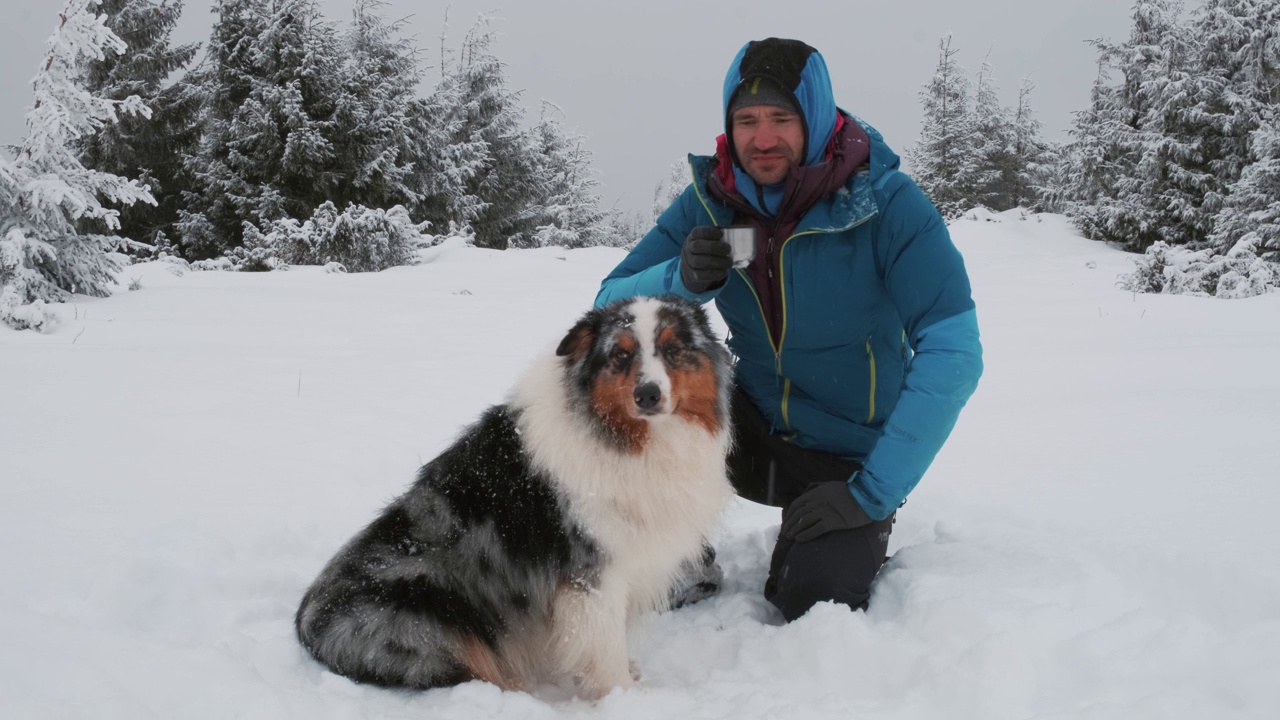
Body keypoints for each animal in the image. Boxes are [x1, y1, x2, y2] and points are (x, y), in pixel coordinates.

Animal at [291, 293, 732, 696]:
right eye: (621, 355)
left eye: (673, 350)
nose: (648, 394)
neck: (631, 440)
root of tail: (305, 622)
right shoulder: (591, 574)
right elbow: (604, 649)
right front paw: (623, 697)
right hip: (430, 618)